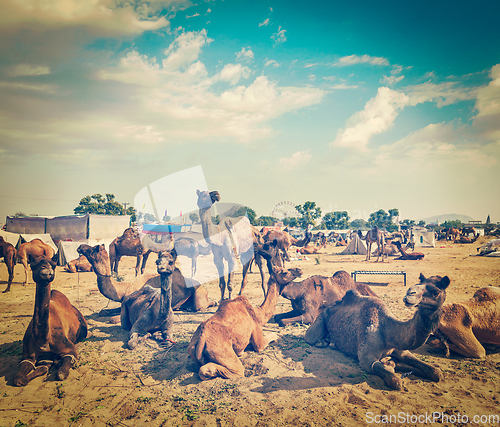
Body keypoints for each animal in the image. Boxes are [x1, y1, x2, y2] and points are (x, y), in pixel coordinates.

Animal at [13, 258, 87, 388]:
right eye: (33, 265)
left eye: (53, 265)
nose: (47, 272)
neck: (43, 340)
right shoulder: (27, 355)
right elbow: (19, 379)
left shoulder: (70, 348)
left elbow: (61, 373)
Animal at [76, 244, 215, 318]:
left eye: (93, 249)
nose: (80, 247)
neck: (125, 288)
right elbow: (103, 312)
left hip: (199, 293)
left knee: (199, 306)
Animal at [304, 274, 450, 392]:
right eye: (416, 286)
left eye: (436, 292)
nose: (410, 294)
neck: (387, 331)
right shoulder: (365, 358)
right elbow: (396, 381)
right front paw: (392, 368)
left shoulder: (402, 350)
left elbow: (435, 372)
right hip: (320, 318)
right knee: (310, 337)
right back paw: (322, 342)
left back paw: (330, 343)